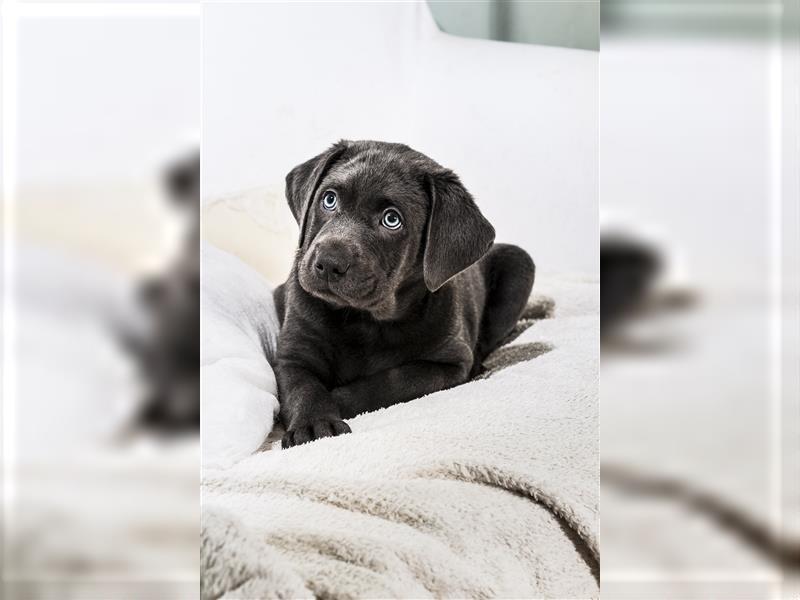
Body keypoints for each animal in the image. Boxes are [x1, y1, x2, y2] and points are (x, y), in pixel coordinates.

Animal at [276, 139, 536, 446]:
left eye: (392, 220)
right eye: (329, 199)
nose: (329, 262)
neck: (363, 320)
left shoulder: (449, 362)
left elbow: (393, 380)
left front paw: (337, 400)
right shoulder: (293, 355)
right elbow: (302, 388)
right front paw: (314, 424)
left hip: (520, 263)